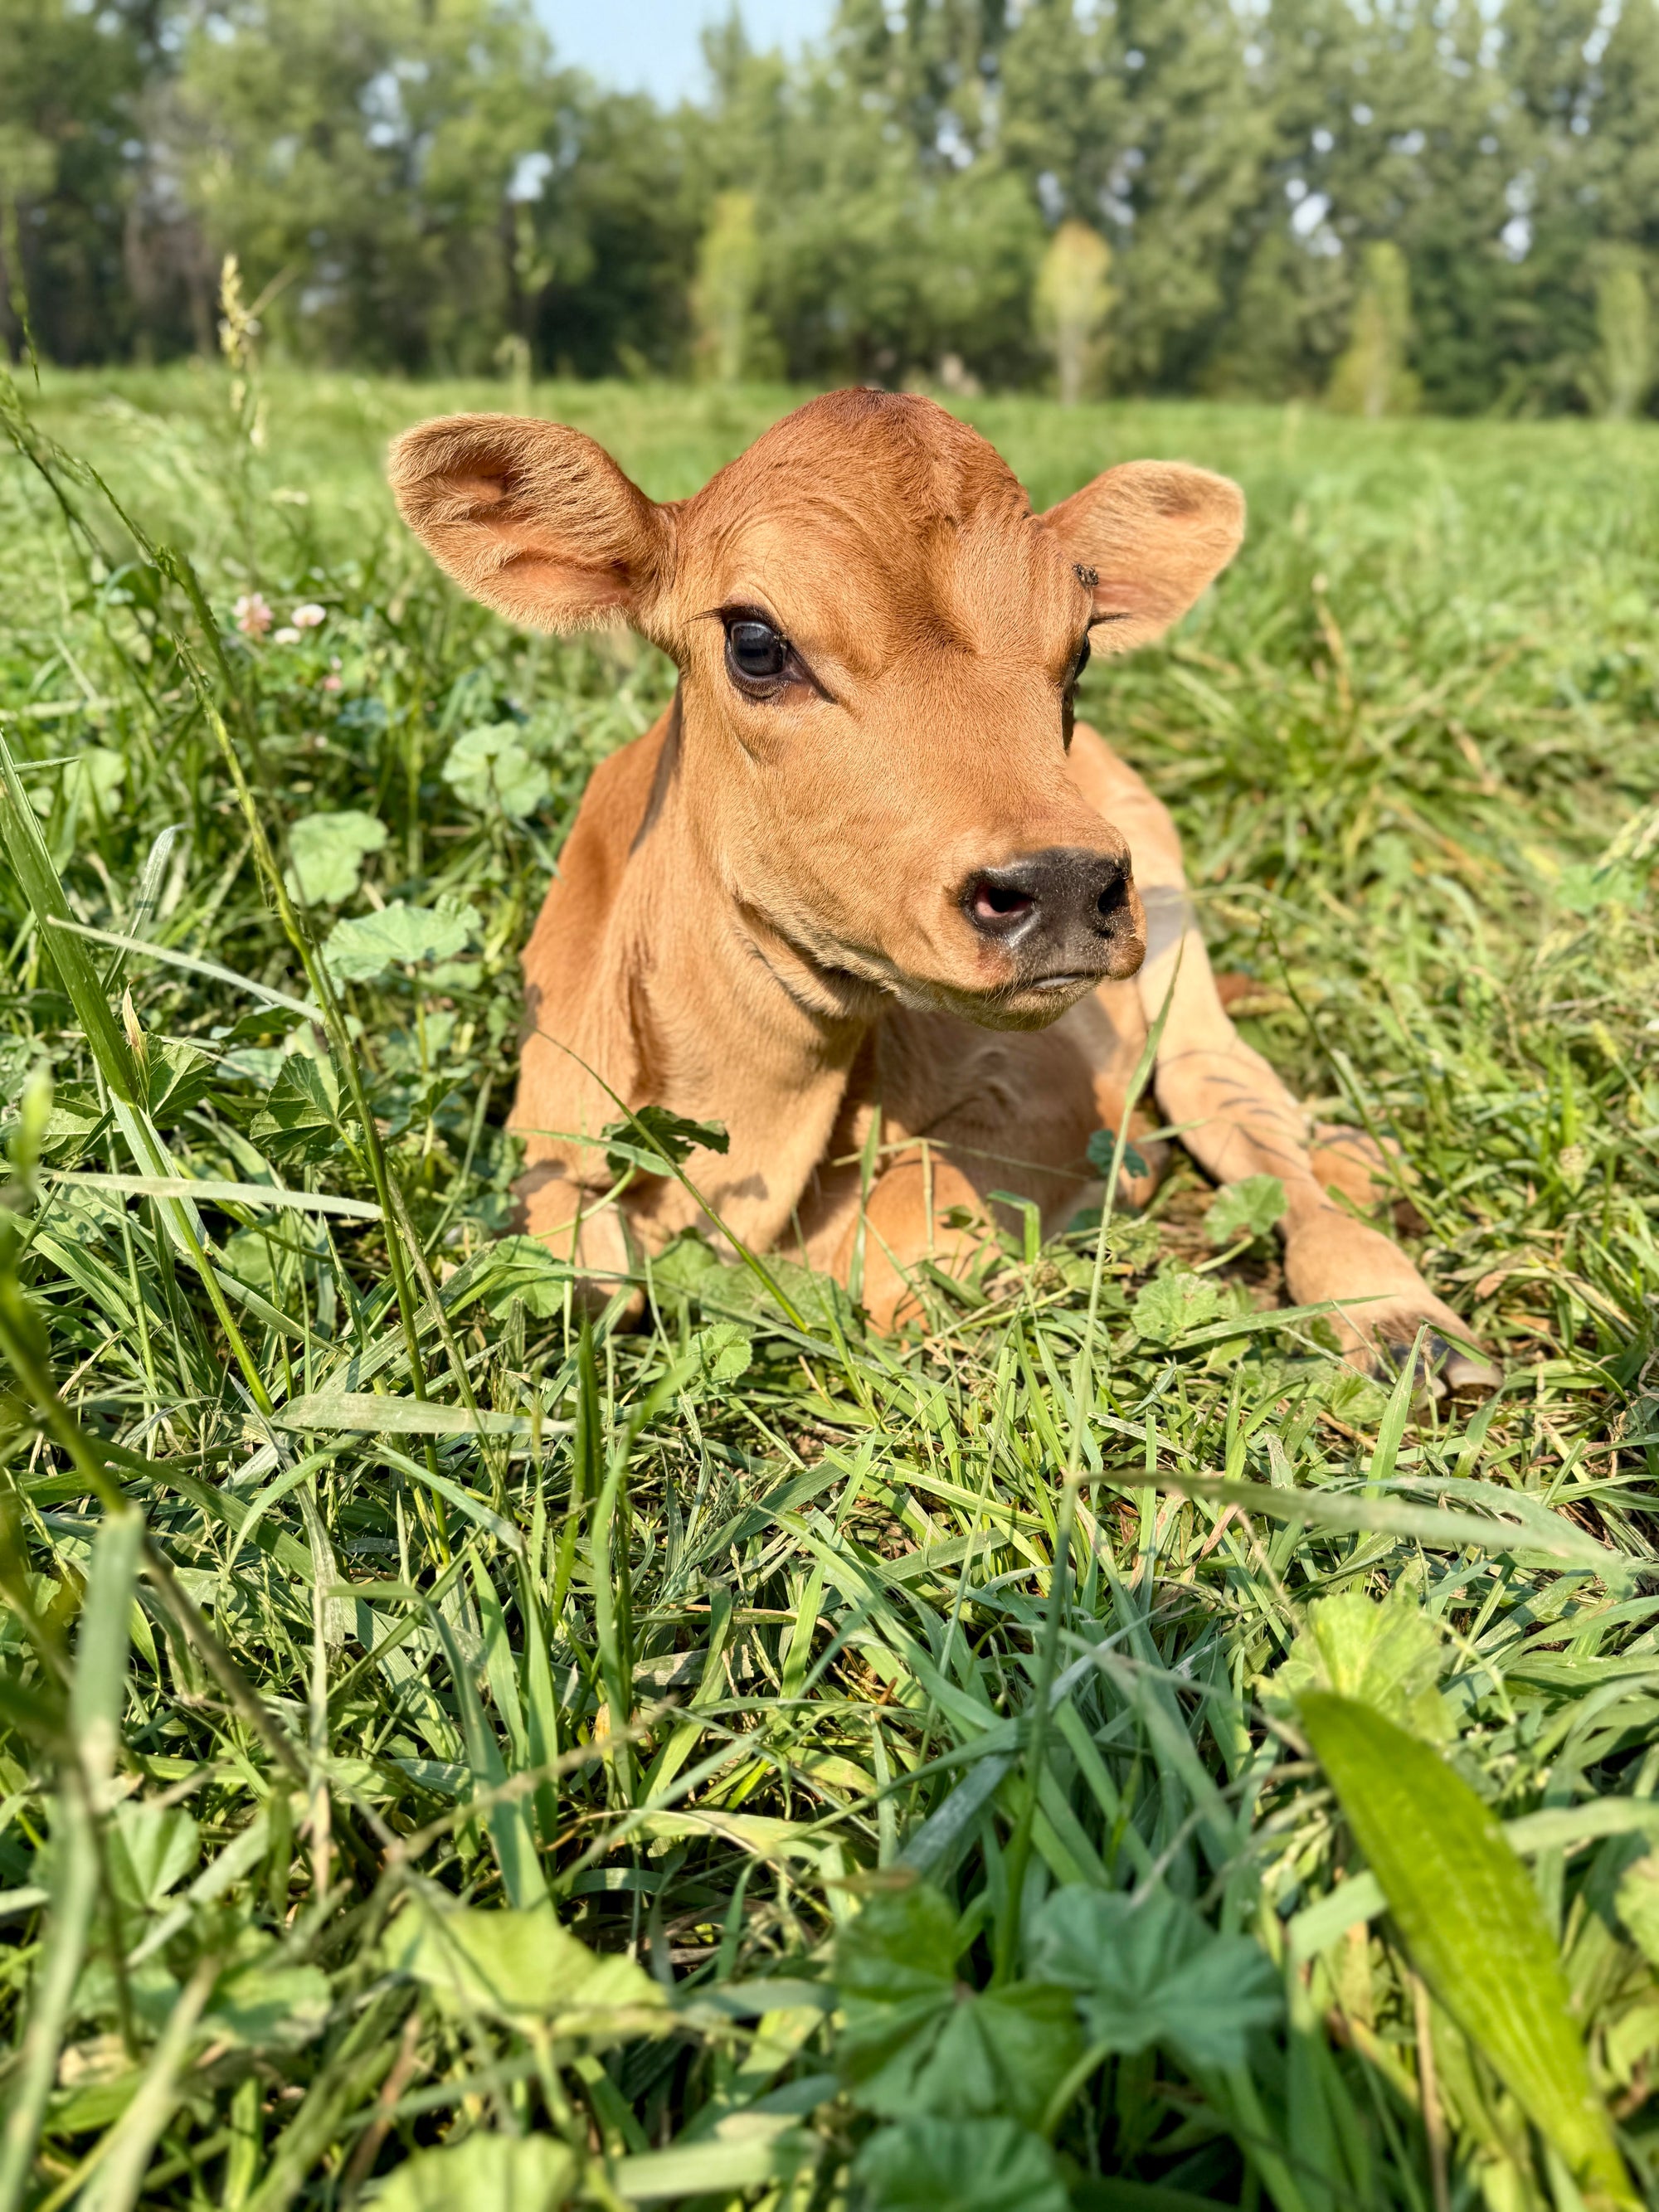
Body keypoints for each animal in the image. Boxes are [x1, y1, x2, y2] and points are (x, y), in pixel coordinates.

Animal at [389, 389, 1493, 1388]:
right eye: (754, 642)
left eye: (1080, 647)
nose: (1062, 881)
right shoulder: (544, 1131)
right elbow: (576, 1269)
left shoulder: (1044, 1094)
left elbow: (885, 1254)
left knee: (1243, 1116)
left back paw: (1395, 1302)